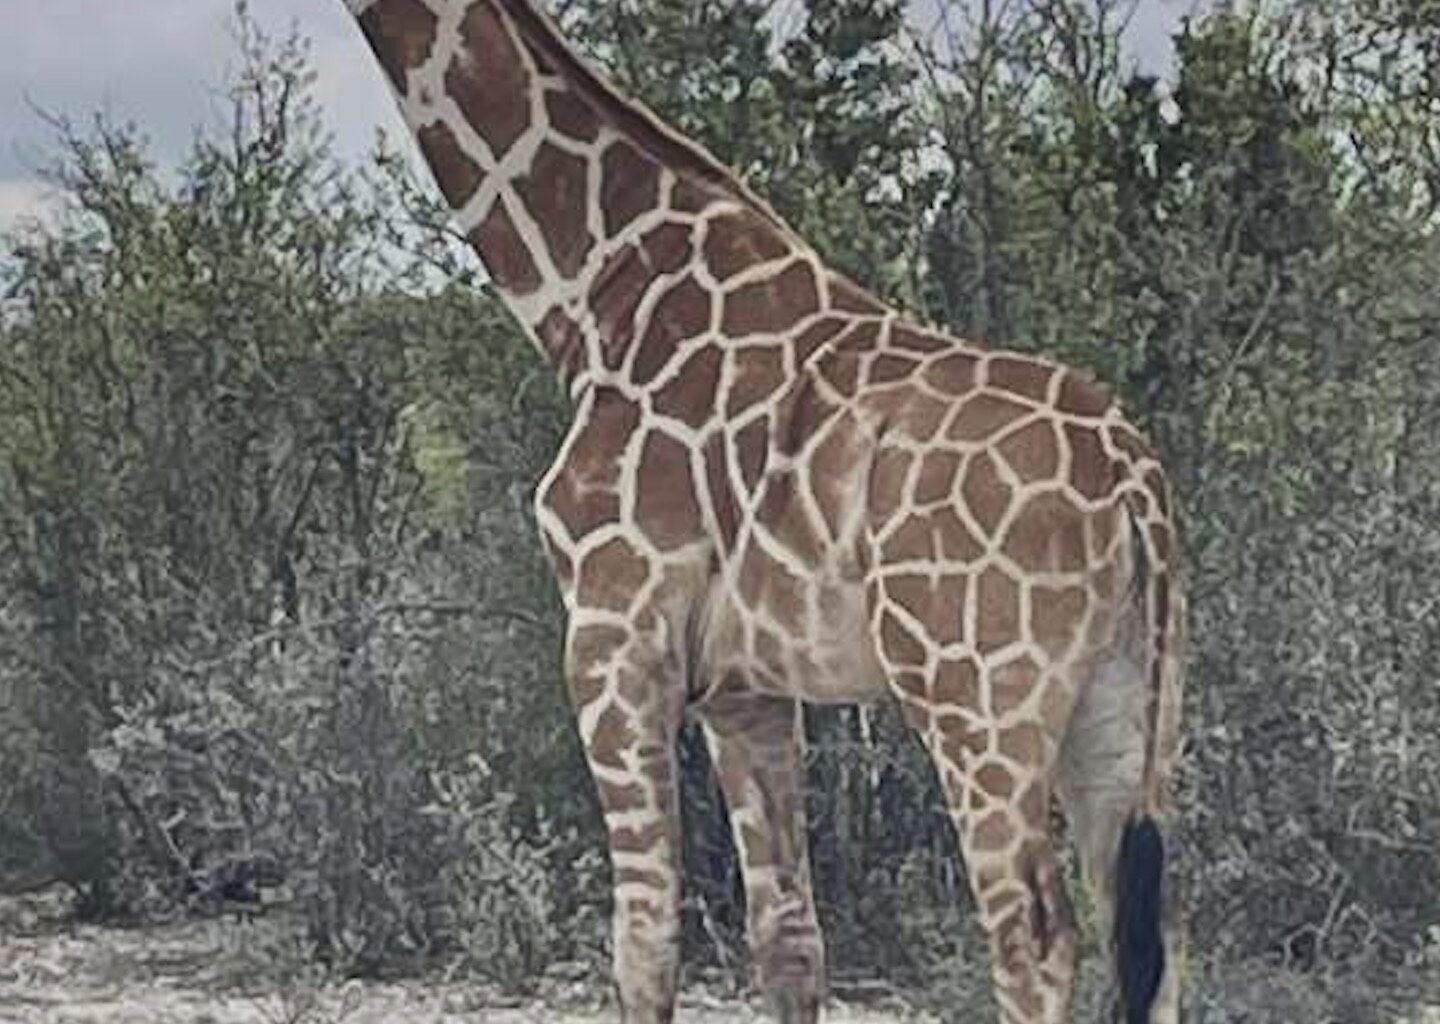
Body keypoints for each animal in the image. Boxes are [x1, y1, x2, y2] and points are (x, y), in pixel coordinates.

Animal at [338, 1, 1185, 1021]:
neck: (597, 293)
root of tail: (1133, 480)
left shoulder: (612, 637)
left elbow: (644, 941)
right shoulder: (746, 689)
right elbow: (788, 939)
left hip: (980, 702)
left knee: (1037, 941)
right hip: (1127, 702)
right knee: (1152, 939)